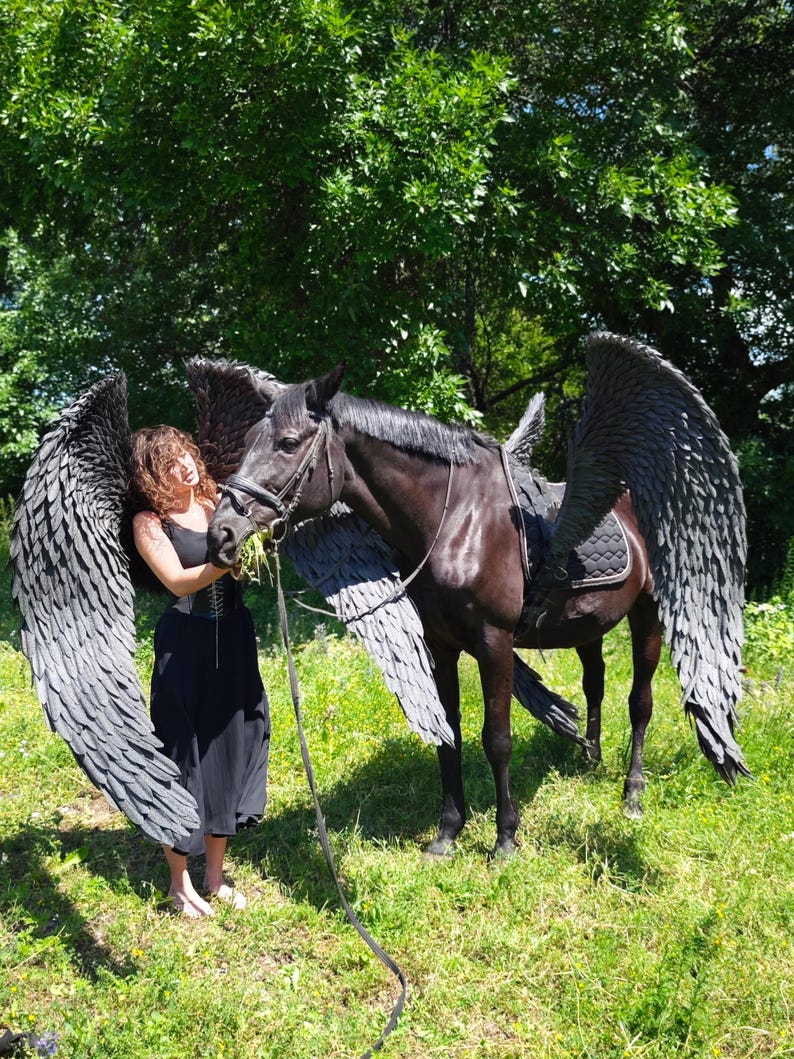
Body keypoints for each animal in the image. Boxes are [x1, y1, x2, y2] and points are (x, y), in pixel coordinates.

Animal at [206, 336, 748, 856]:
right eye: (248, 441)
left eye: (288, 443)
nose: (221, 534)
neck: (455, 523)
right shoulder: (439, 643)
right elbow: (450, 735)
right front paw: (448, 832)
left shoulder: (495, 642)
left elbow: (497, 738)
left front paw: (505, 838)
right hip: (587, 626)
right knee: (595, 683)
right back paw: (590, 759)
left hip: (649, 615)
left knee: (640, 701)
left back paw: (632, 793)